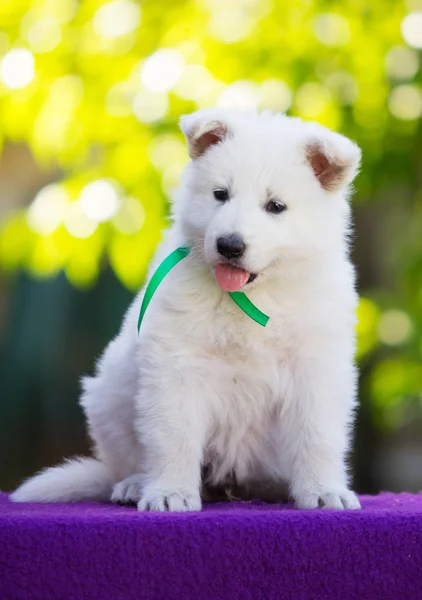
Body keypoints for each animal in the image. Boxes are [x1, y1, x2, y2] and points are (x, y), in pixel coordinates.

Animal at [12, 109, 362, 510]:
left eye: (275, 206)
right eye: (220, 194)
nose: (229, 245)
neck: (252, 296)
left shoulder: (315, 368)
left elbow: (317, 435)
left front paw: (323, 491)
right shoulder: (175, 364)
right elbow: (173, 435)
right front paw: (169, 493)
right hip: (109, 399)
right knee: (125, 461)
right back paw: (134, 484)